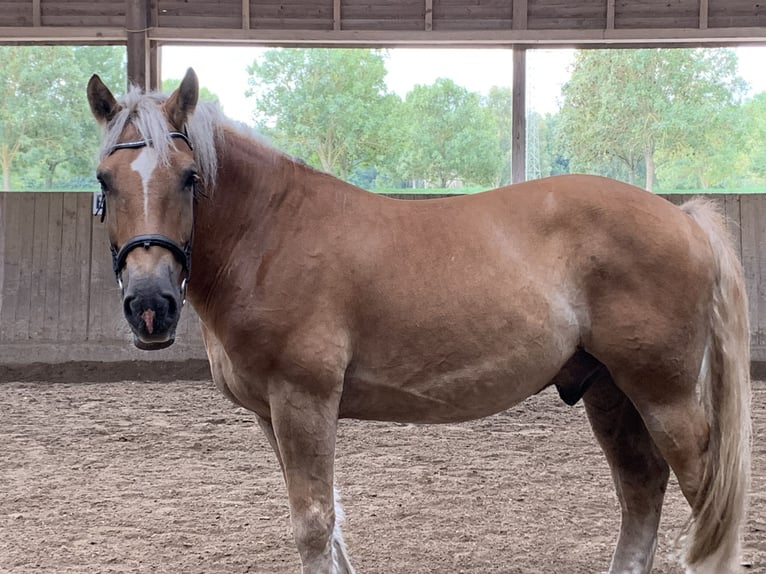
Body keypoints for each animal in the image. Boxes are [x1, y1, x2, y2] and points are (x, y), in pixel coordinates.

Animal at [87, 68, 751, 574]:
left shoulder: (303, 401)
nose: (150, 305)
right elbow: (328, 524)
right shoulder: (271, 414)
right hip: (609, 391)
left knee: (704, 499)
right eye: (104, 180)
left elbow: (314, 524)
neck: (271, 233)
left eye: (189, 177)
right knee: (641, 490)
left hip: (665, 397)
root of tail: (683, 218)